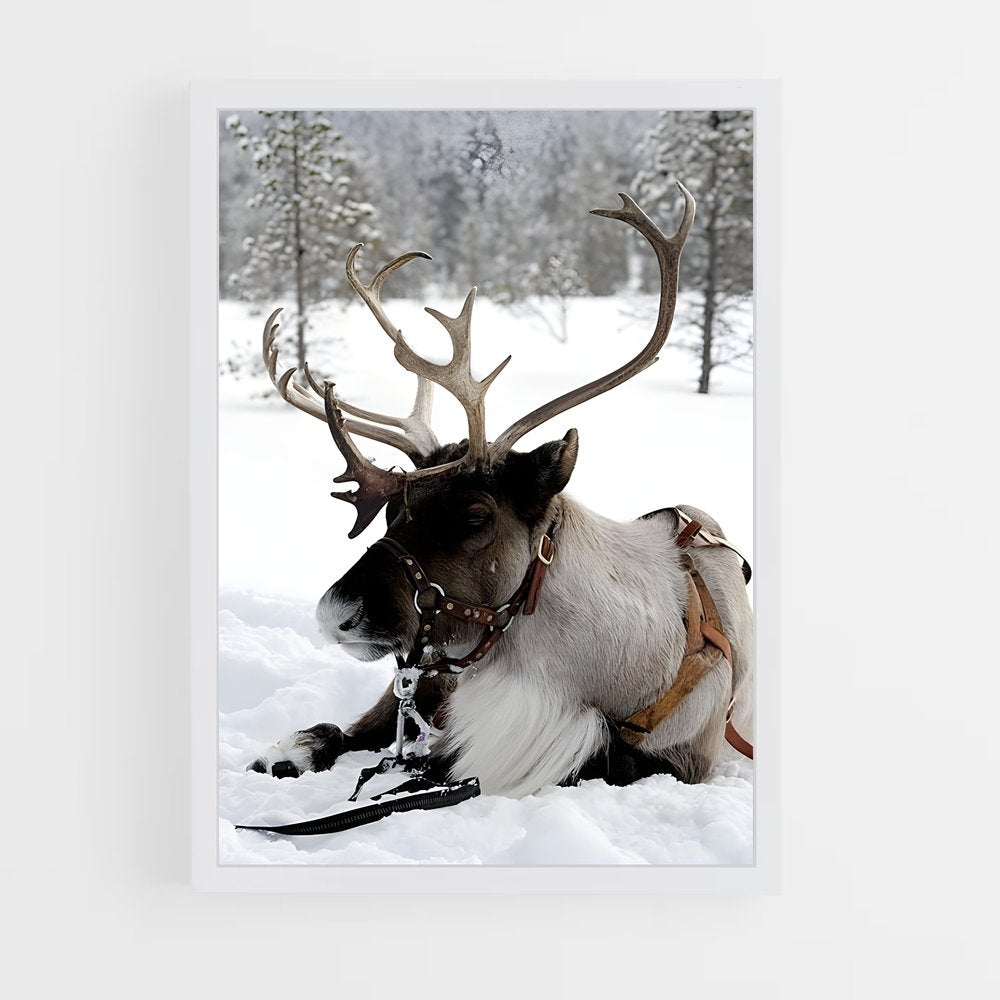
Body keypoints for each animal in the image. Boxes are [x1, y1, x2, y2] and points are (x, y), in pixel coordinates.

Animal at [246, 184, 754, 798]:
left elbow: (595, 756)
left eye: (475, 515)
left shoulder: (684, 759)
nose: (333, 614)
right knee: (353, 727)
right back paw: (286, 754)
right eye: (393, 511)